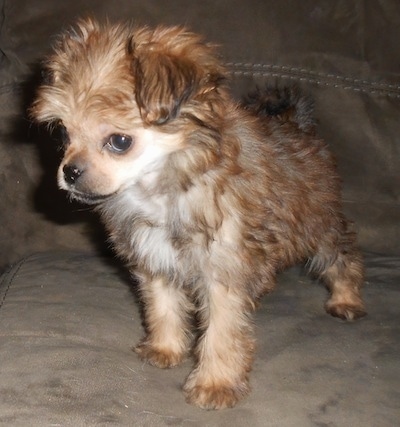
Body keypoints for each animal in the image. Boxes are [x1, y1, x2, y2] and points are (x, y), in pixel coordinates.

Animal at [31, 18, 368, 410]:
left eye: (119, 141)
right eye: (64, 132)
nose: (69, 172)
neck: (160, 189)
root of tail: (297, 126)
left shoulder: (223, 272)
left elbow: (222, 332)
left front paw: (215, 383)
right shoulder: (154, 259)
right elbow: (162, 307)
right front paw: (165, 348)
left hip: (318, 224)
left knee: (342, 257)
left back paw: (346, 299)